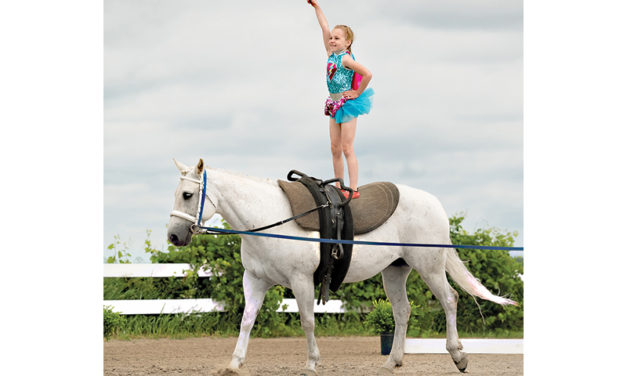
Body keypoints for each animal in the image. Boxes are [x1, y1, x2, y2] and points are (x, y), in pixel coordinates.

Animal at [167, 158, 516, 374]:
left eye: (188, 194)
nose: (174, 235)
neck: (269, 218)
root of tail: (434, 204)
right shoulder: (254, 280)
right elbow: (246, 322)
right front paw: (234, 363)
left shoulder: (301, 281)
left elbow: (307, 322)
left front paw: (311, 363)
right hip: (396, 270)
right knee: (402, 312)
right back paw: (392, 362)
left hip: (428, 266)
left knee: (449, 300)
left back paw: (458, 355)